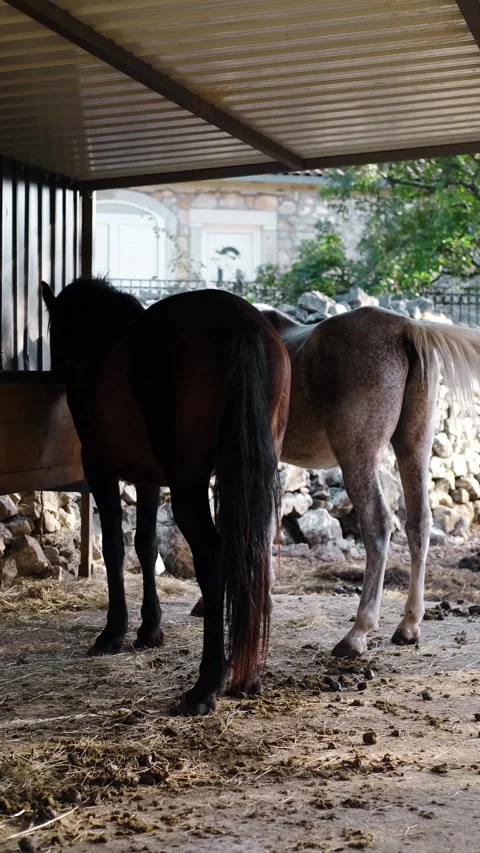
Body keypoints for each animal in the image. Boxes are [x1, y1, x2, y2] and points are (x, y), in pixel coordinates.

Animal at [41, 277, 290, 715]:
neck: (102, 342)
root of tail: (241, 324)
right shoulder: (148, 478)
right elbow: (145, 545)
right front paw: (149, 629)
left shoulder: (100, 469)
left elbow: (115, 547)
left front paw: (114, 632)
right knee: (251, 554)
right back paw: (246, 676)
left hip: (188, 484)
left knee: (212, 555)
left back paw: (205, 686)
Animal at [192, 304, 480, 659]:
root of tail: (404, 328)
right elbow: (266, 523)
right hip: (413, 447)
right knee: (419, 524)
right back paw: (409, 625)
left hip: (358, 455)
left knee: (378, 525)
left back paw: (358, 632)